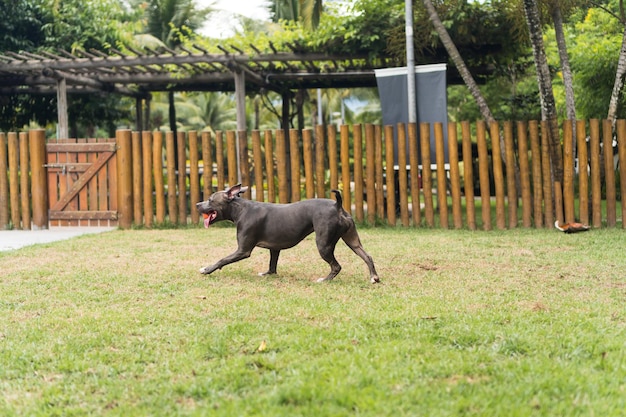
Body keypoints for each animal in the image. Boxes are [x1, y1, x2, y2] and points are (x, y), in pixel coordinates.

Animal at [197, 183, 378, 282]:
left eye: (210, 199)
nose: (198, 204)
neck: (240, 209)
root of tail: (337, 206)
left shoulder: (243, 250)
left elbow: (222, 260)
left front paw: (206, 269)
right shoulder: (274, 248)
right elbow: (272, 264)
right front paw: (268, 274)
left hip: (323, 244)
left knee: (336, 266)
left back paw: (324, 280)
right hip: (352, 240)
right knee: (367, 256)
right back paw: (374, 278)